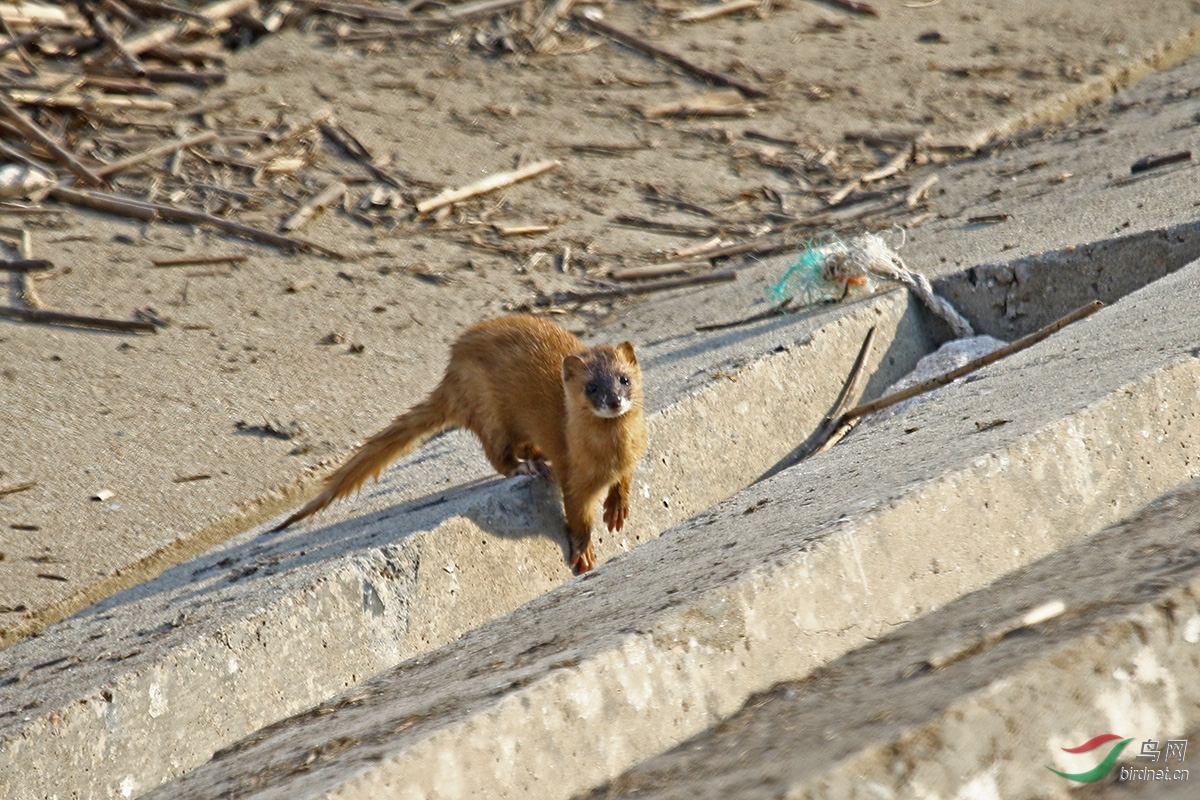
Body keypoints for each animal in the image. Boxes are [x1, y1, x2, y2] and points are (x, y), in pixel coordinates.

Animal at [271, 316, 648, 573]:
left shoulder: (632, 457)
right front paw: (584, 552)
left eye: (624, 379)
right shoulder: (573, 473)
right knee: (498, 453)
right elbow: (577, 515)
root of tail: (450, 372)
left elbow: (625, 481)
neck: (610, 456)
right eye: (591, 387)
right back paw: (527, 466)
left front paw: (617, 507)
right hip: (487, 407)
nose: (614, 401)